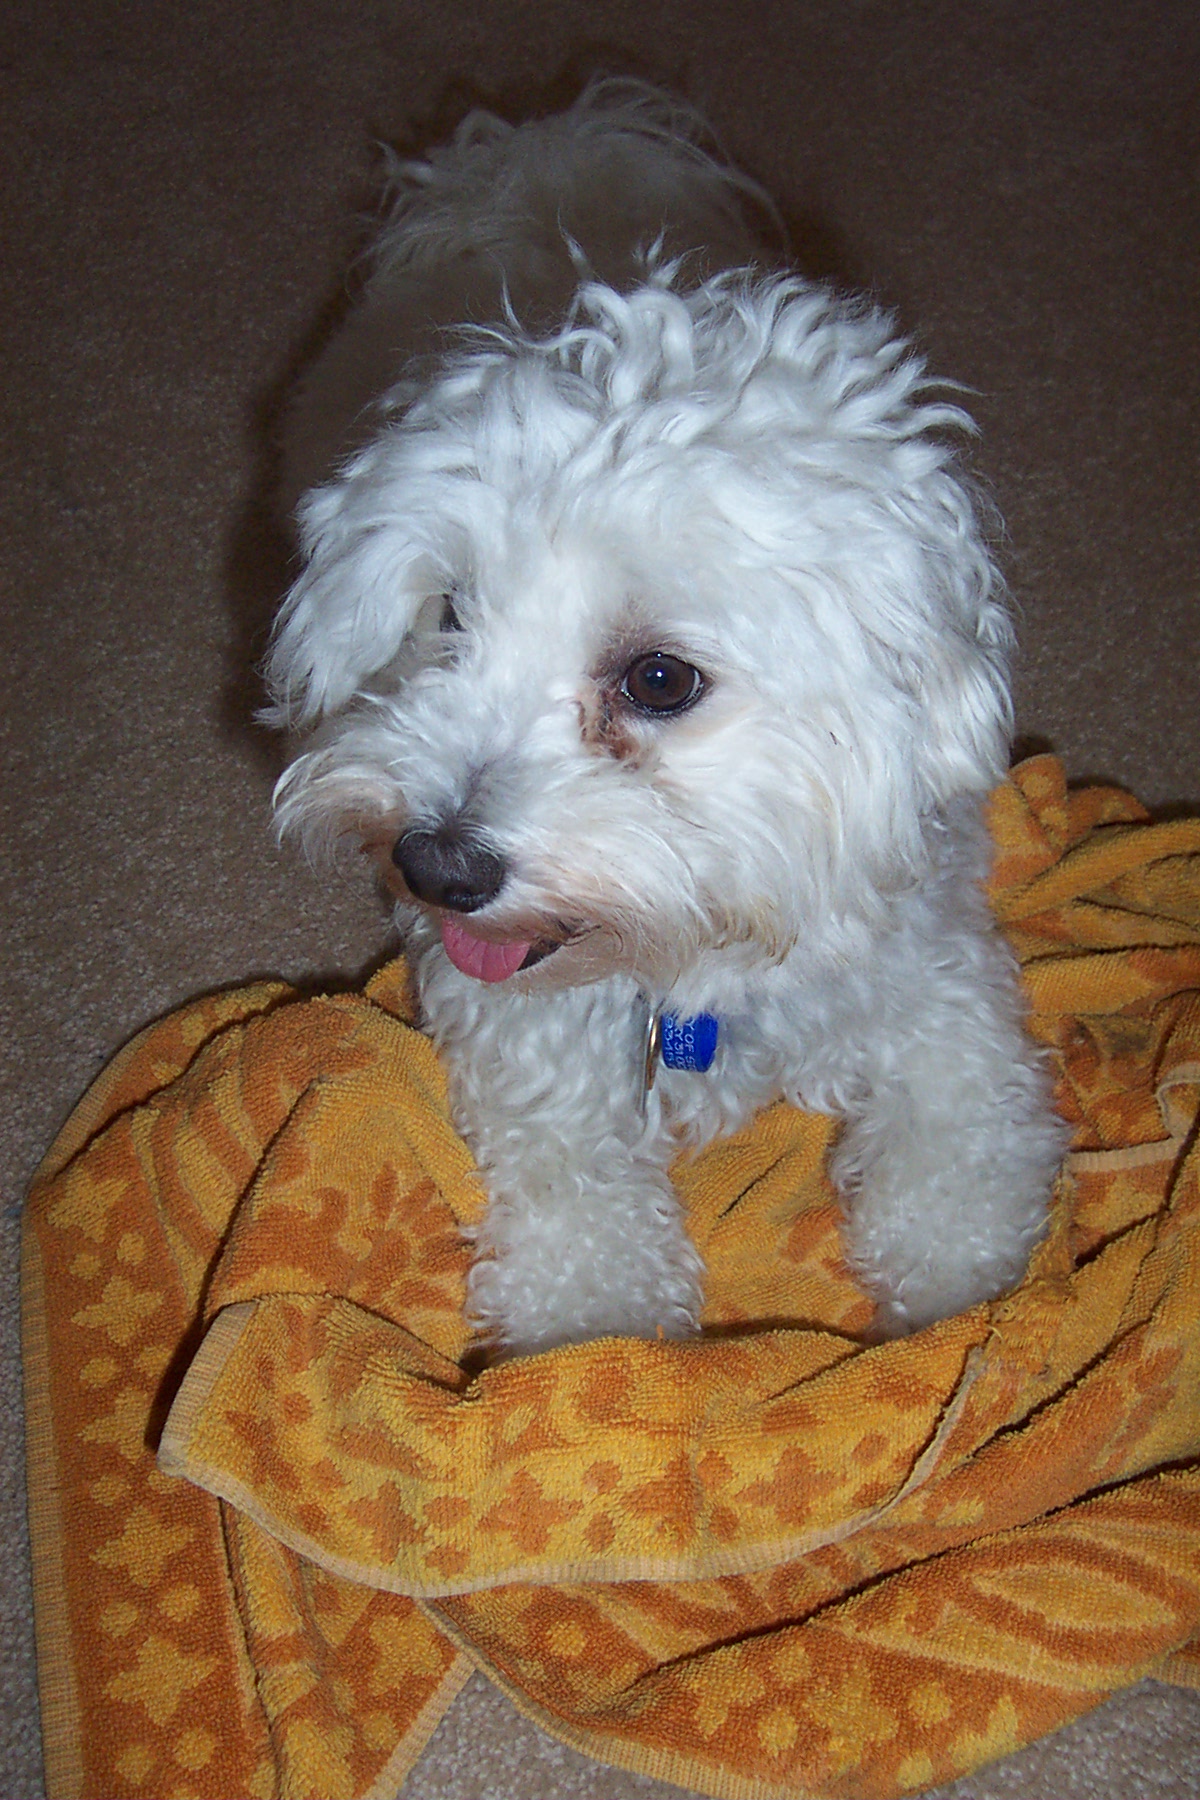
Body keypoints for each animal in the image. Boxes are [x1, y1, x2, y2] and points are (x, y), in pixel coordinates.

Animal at [268, 81, 1065, 1353]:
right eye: (450, 611)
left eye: (657, 681)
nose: (435, 867)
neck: (698, 962)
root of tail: (534, 163)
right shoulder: (535, 1047)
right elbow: (582, 1231)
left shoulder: (940, 991)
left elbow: (961, 1167)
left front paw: (960, 1319)